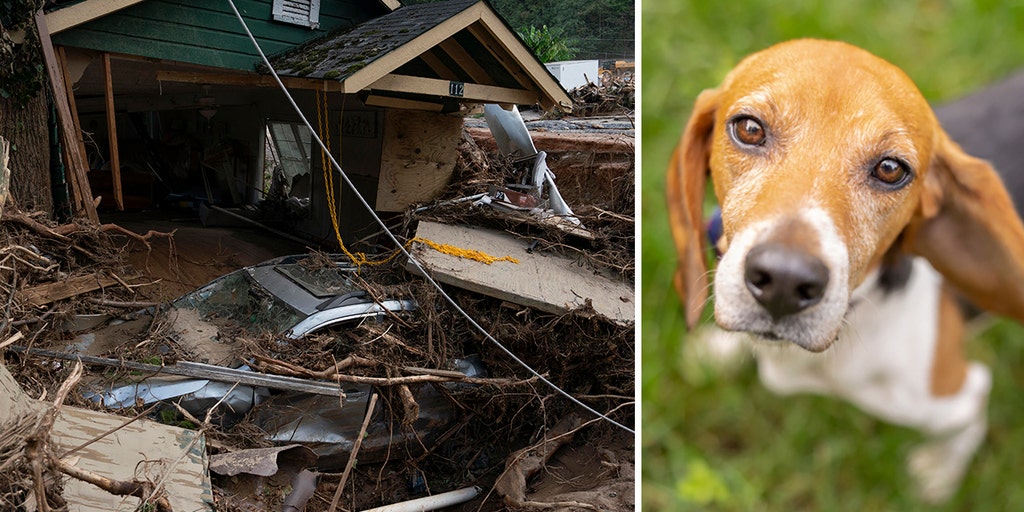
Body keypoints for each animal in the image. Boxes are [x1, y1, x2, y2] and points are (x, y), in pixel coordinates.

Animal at [667, 39, 1024, 503]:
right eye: (749, 129)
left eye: (891, 169)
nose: (784, 281)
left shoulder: (957, 396)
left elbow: (965, 427)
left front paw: (938, 476)